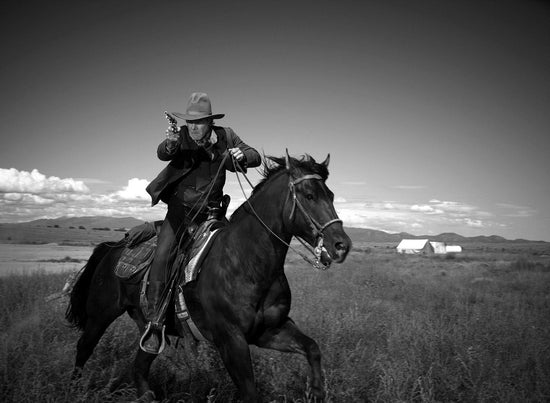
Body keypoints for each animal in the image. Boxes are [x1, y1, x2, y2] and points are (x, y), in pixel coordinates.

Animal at [66, 153, 350, 402]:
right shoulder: (231, 340)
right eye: (309, 195)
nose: (341, 245)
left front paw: (316, 392)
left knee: (139, 366)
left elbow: (312, 347)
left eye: (331, 195)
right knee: (84, 348)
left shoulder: (269, 331)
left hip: (151, 331)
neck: (246, 262)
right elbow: (250, 393)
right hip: (100, 315)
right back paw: (75, 389)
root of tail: (112, 247)